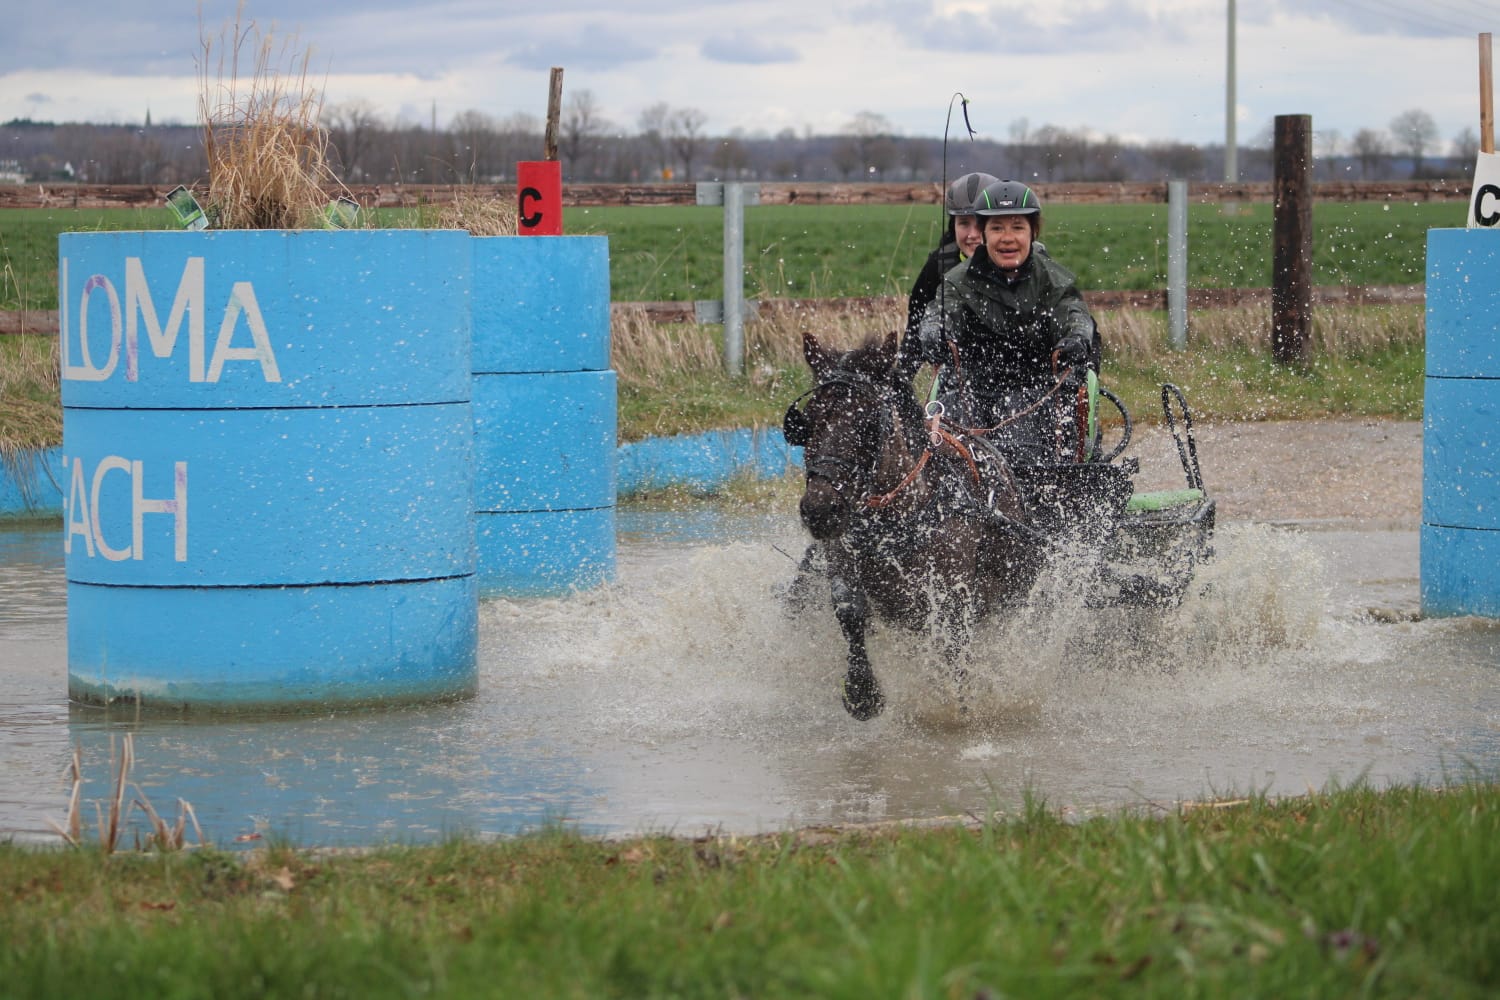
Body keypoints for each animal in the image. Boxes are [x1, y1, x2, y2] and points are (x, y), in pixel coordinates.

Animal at [786, 329, 1044, 719]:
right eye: (810, 419)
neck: (897, 519)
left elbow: (954, 647)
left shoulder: (952, 589)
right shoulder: (843, 557)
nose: (820, 509)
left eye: (867, 423)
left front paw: (959, 704)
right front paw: (862, 692)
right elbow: (849, 610)